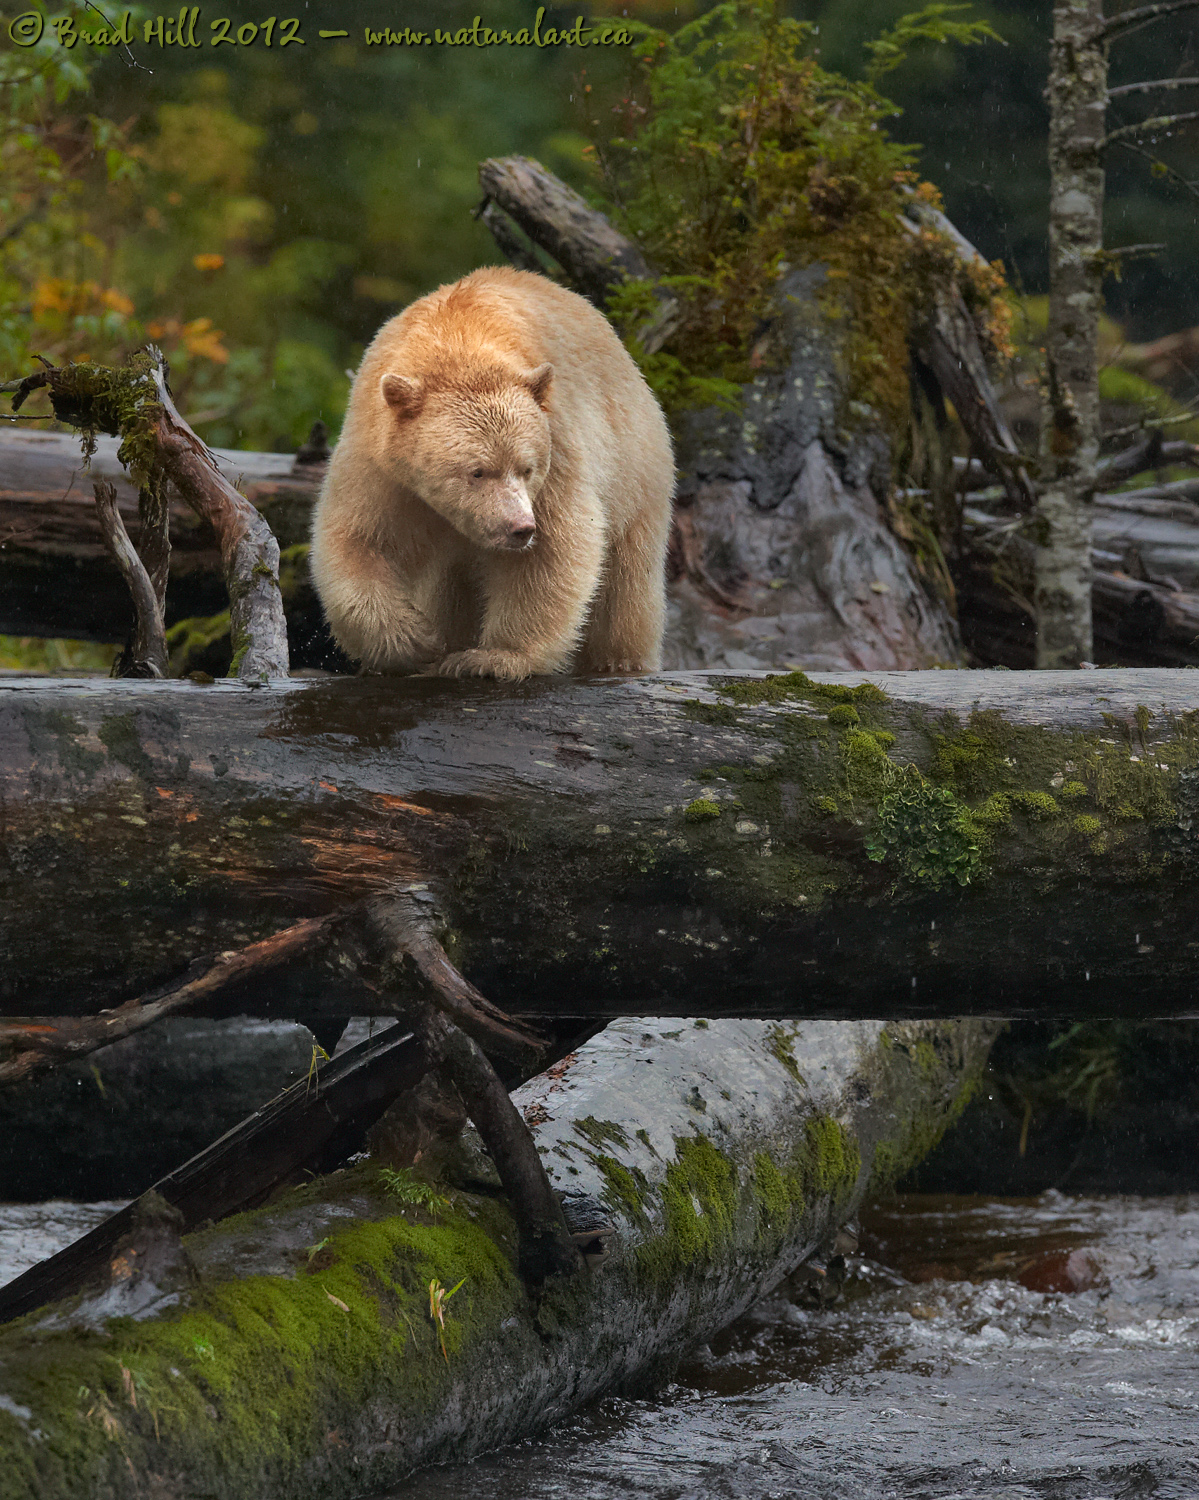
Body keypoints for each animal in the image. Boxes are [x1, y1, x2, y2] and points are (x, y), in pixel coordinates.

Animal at [309, 267, 675, 678]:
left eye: (527, 468)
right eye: (477, 472)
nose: (520, 528)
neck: (459, 340)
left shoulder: (558, 444)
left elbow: (553, 549)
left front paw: (491, 657)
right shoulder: (382, 461)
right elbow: (359, 538)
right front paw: (416, 641)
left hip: (635, 469)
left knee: (626, 578)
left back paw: (618, 660)